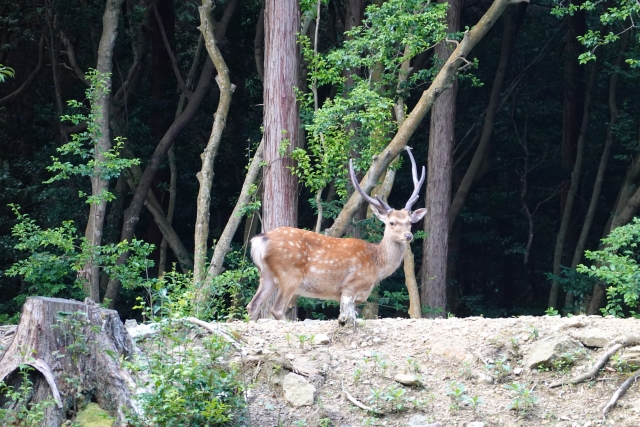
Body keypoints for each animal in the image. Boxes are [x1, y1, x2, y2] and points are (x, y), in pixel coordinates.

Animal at [248, 148, 428, 328]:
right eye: (392, 222)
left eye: (410, 222)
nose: (408, 235)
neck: (377, 265)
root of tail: (259, 240)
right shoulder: (350, 285)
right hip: (290, 273)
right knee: (277, 309)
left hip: (267, 275)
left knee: (252, 305)